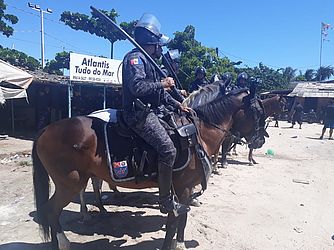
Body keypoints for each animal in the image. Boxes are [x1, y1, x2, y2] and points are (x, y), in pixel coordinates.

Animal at [32, 84, 248, 250]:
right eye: (255, 108)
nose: (256, 140)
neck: (196, 133)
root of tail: (46, 129)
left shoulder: (177, 189)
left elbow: (178, 219)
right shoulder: (182, 189)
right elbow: (175, 220)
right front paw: (174, 245)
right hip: (70, 183)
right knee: (52, 209)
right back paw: (66, 240)